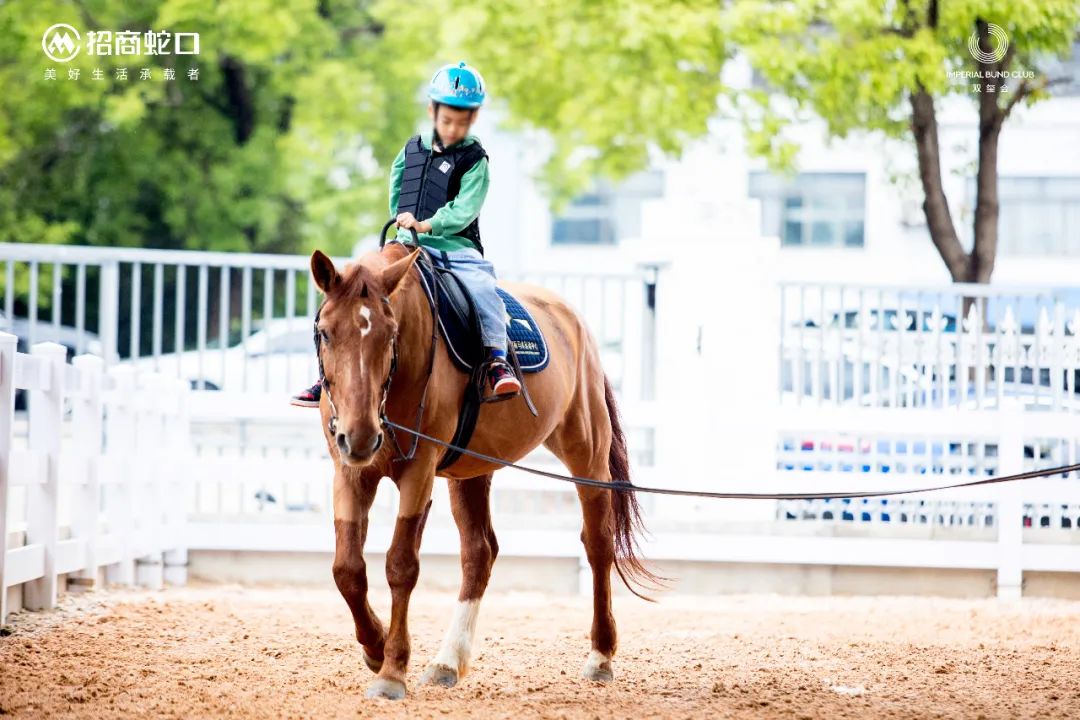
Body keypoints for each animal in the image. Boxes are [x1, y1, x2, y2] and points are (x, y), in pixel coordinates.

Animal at [308, 240, 652, 699]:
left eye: (390, 334)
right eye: (326, 332)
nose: (361, 436)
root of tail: (573, 320)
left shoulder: (418, 470)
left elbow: (401, 565)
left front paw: (392, 671)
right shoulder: (349, 472)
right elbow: (347, 569)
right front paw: (375, 648)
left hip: (587, 454)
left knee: (597, 544)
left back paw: (600, 656)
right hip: (470, 474)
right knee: (479, 553)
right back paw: (447, 661)